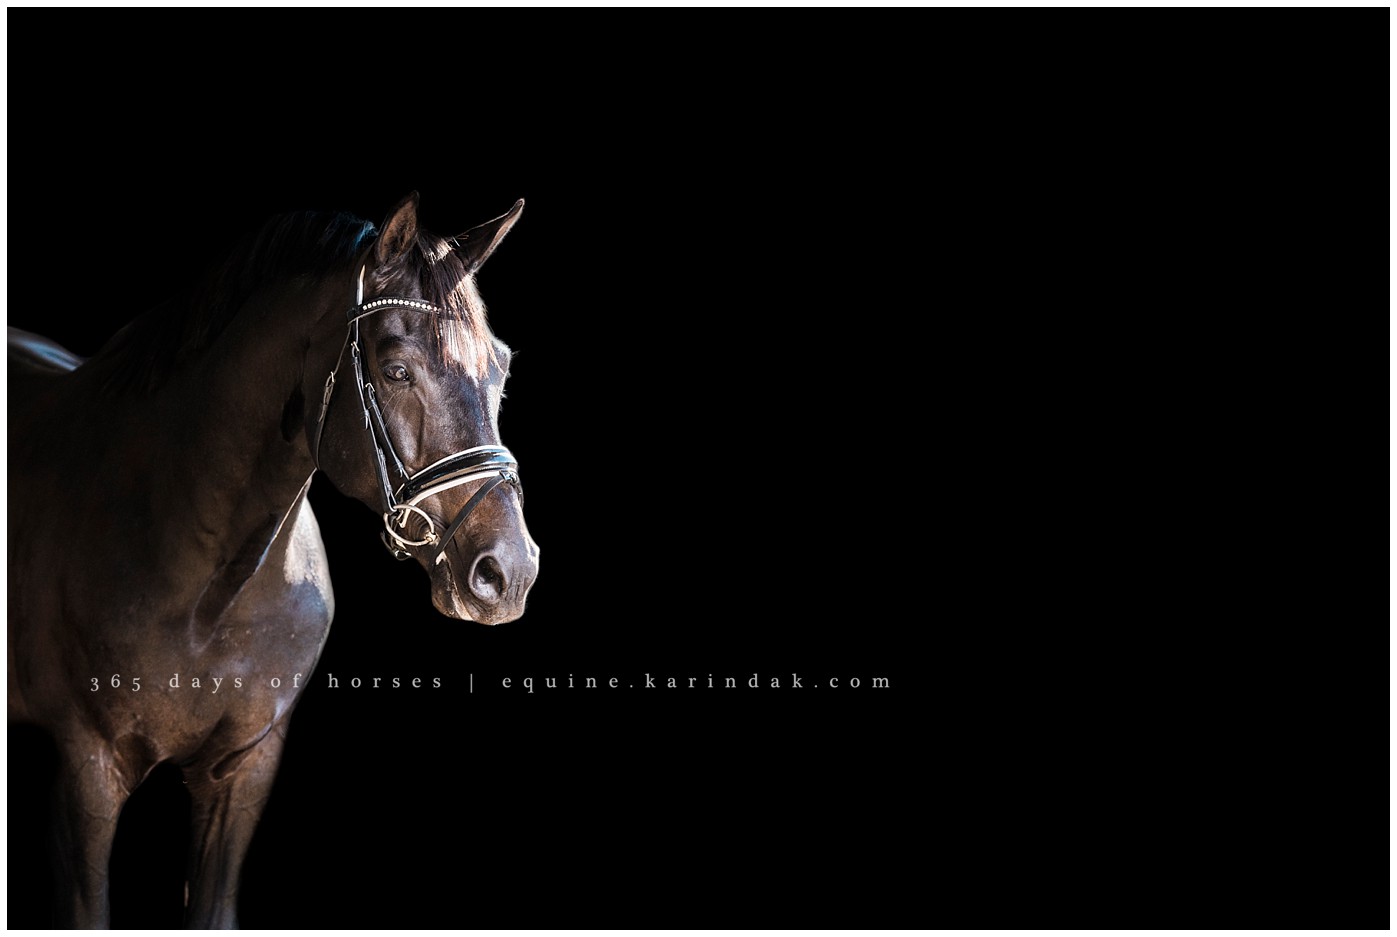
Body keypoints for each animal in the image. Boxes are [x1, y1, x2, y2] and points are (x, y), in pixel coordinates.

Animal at [7, 192, 539, 928]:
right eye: (396, 369)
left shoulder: (243, 771)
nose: (508, 571)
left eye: (500, 368)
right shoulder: (87, 773)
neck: (209, 589)